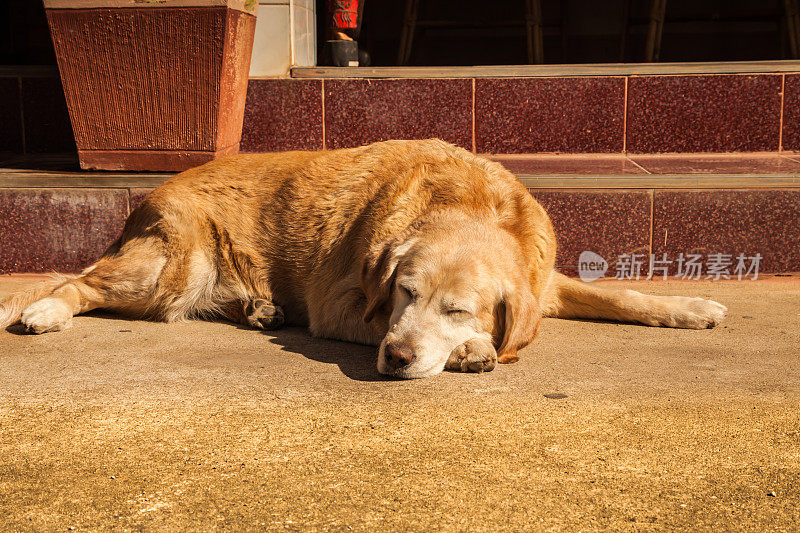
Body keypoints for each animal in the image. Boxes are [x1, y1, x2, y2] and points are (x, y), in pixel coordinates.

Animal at [0, 139, 728, 376]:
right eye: (405, 292)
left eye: (457, 306)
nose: (396, 359)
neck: (470, 204)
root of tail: (151, 191)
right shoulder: (344, 303)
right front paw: (470, 350)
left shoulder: (540, 277)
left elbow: (624, 294)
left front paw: (691, 305)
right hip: (170, 270)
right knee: (78, 281)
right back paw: (41, 311)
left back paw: (261, 307)